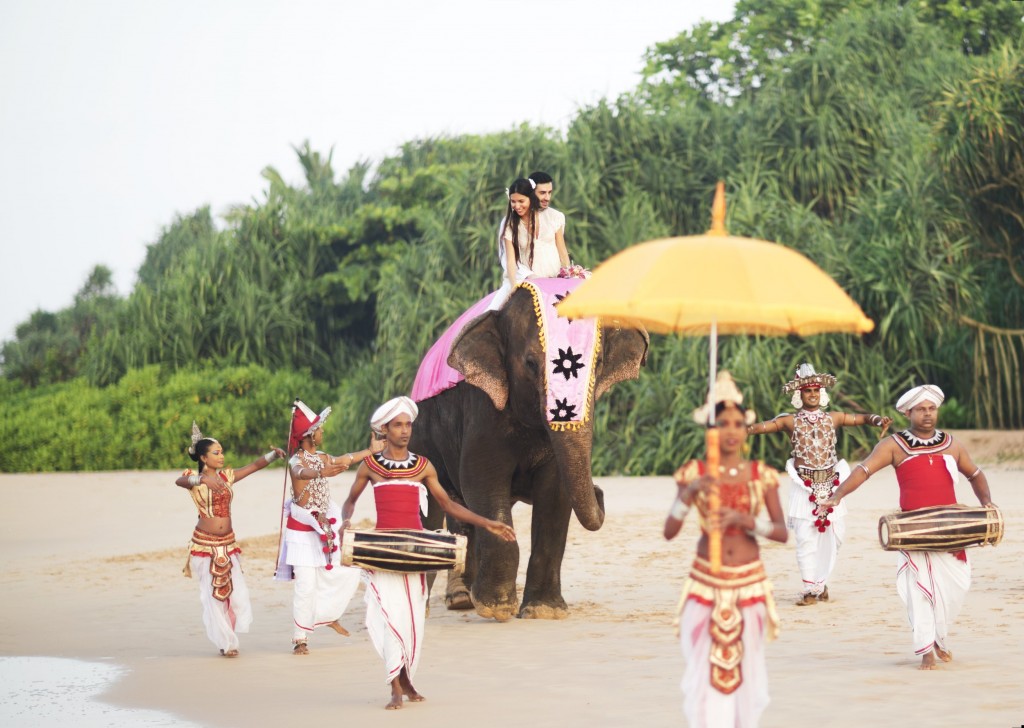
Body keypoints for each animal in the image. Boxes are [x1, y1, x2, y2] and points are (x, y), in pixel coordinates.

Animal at [407, 278, 647, 622]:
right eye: (531, 364)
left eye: (599, 364)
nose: (600, 491)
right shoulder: (483, 405)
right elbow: (482, 482)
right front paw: (496, 608)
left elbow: (555, 494)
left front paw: (543, 611)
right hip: (420, 433)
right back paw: (450, 601)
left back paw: (464, 599)